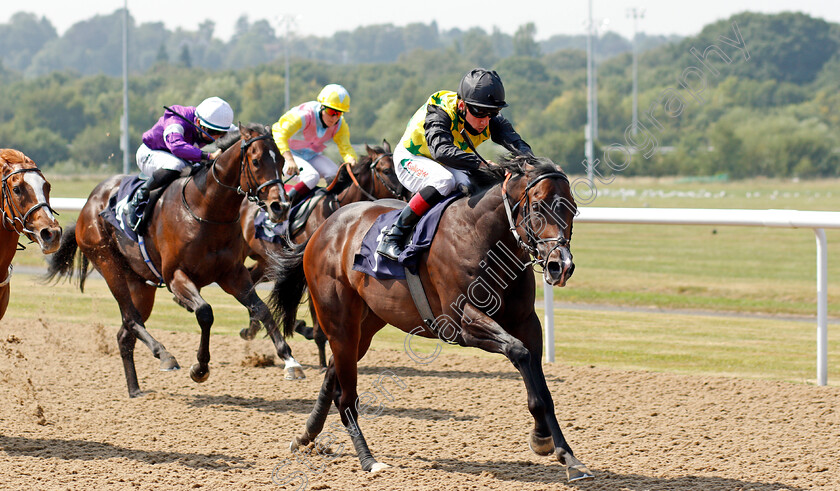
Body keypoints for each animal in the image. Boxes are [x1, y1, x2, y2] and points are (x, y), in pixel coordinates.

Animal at [45, 125, 302, 398]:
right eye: (255, 161)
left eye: (282, 161)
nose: (280, 206)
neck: (206, 210)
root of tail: (89, 203)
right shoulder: (175, 276)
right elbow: (204, 312)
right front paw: (200, 368)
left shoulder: (232, 275)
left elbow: (261, 309)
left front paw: (290, 361)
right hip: (108, 264)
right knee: (131, 319)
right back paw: (165, 355)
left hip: (140, 284)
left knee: (125, 332)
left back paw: (135, 389)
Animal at [238, 140, 408, 368]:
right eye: (387, 170)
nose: (407, 196)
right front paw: (321, 358)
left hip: (268, 263)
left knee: (250, 279)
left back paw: (251, 328)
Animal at [268, 156, 592, 482]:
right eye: (537, 207)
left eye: (573, 207)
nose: (561, 266)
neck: (482, 235)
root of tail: (322, 229)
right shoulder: (462, 323)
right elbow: (519, 352)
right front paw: (546, 441)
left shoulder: (527, 322)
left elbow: (541, 387)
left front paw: (563, 452)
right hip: (339, 322)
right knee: (346, 396)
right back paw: (369, 460)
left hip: (365, 326)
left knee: (332, 375)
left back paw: (305, 436)